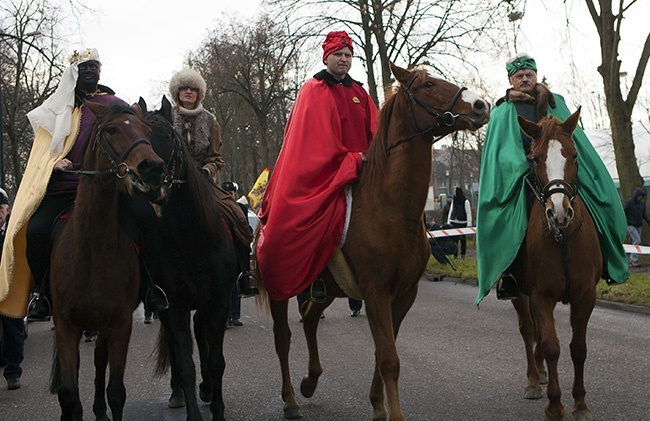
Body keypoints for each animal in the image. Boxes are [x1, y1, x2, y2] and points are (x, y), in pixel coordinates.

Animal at [49, 102, 166, 420]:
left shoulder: (119, 324)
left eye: (146, 130)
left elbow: (116, 391)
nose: (153, 167)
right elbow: (68, 393)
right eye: (112, 130)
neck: (90, 249)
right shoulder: (65, 325)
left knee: (100, 363)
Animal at [139, 97, 238, 420]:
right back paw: (177, 394)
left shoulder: (218, 302)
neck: (192, 236)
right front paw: (193, 410)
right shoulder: (174, 306)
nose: (152, 179)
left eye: (169, 136)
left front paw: (217, 407)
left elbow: (216, 360)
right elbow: (185, 363)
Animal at [258, 62, 486, 420]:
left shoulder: (404, 293)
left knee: (310, 318)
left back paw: (310, 381)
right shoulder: (376, 292)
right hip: (281, 286)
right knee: (283, 337)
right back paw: (291, 400)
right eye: (429, 85)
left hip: (326, 288)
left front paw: (378, 406)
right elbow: (389, 358)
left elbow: (383, 353)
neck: (393, 210)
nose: (480, 105)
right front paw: (393, 414)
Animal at [508, 108, 600, 420]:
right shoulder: (541, 296)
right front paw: (555, 404)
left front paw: (581, 403)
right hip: (520, 293)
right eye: (535, 158)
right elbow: (551, 347)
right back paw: (534, 380)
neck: (563, 239)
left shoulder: (585, 296)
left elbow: (579, 348)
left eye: (573, 155)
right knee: (527, 329)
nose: (559, 213)